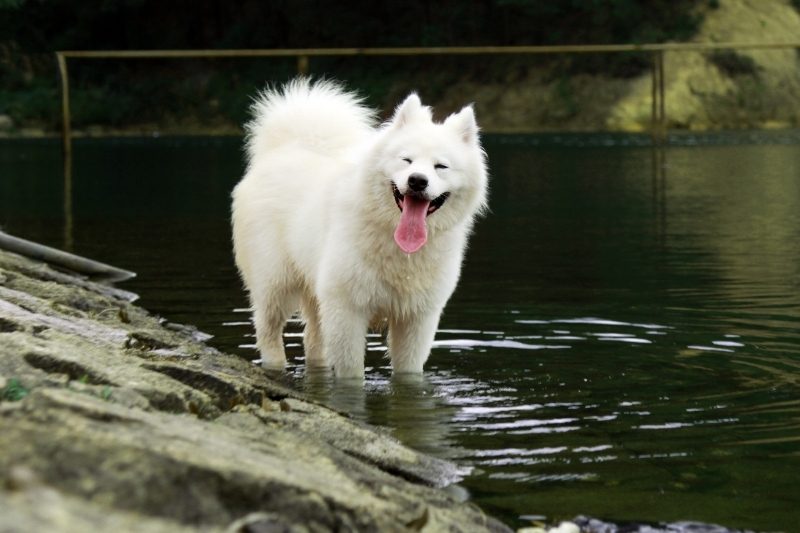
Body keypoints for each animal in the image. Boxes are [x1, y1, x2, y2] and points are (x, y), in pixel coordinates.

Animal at [231, 80, 488, 378]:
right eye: (407, 160)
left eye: (441, 166)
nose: (417, 181)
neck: (396, 244)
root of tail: (286, 147)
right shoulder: (347, 310)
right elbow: (352, 374)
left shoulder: (416, 318)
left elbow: (408, 373)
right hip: (276, 283)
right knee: (268, 330)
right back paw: (275, 365)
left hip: (316, 291)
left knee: (313, 340)